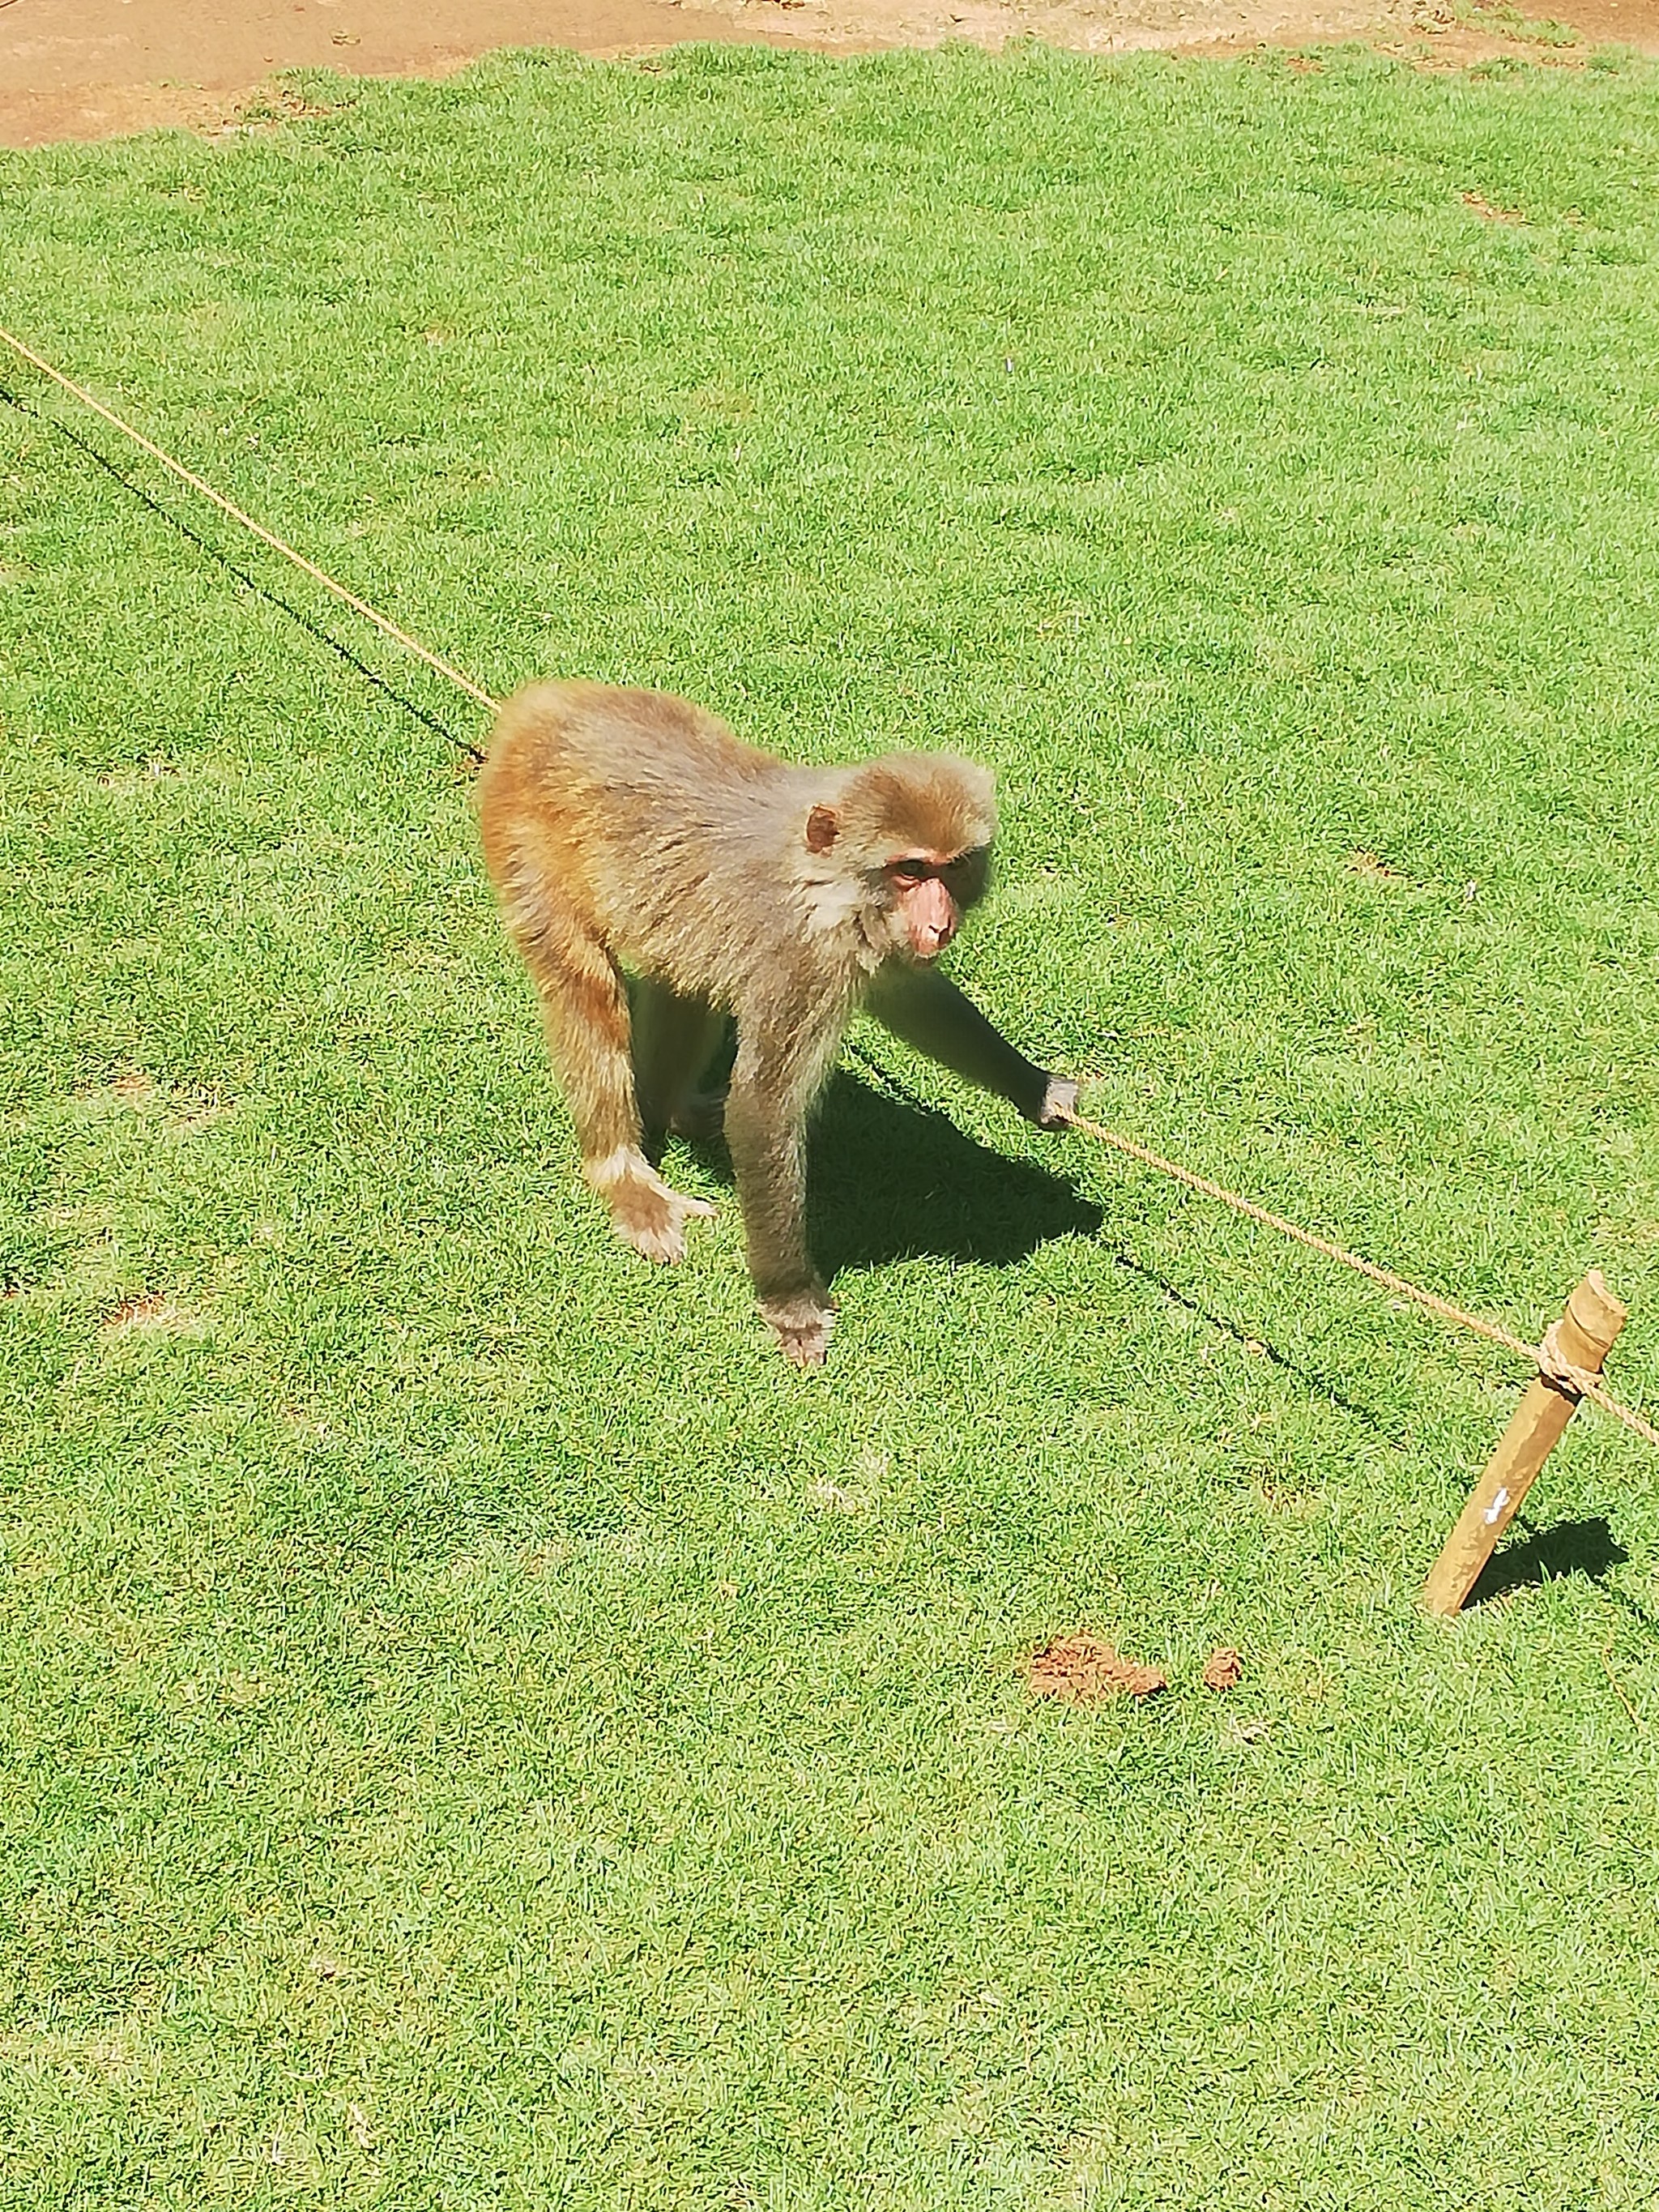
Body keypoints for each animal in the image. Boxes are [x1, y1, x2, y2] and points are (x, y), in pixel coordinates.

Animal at [477, 677, 1079, 1362]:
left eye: (952, 867)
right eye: (910, 869)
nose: (939, 922)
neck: (825, 886)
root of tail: (541, 702)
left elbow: (910, 995)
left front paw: (1033, 1086)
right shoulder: (800, 961)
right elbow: (764, 1110)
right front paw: (789, 1301)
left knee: (686, 978)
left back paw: (673, 1109)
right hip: (522, 831)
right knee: (586, 988)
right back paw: (622, 1174)